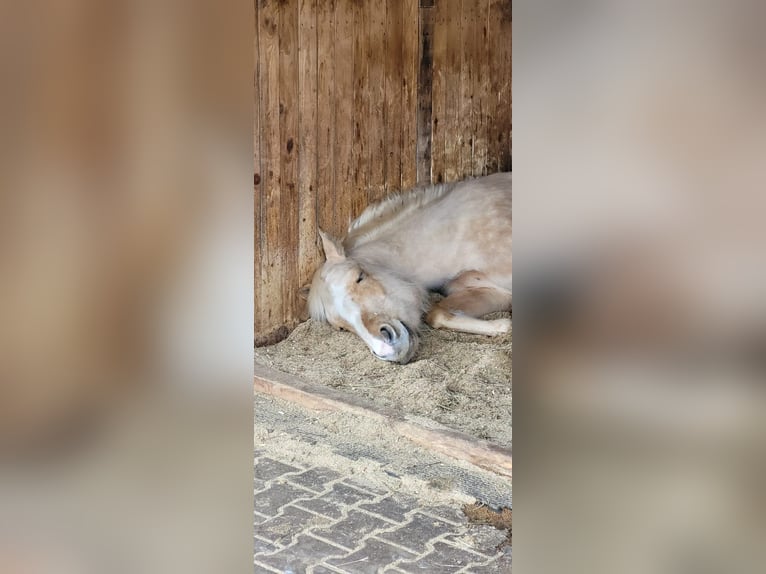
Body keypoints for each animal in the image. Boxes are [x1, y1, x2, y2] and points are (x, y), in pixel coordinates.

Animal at [306, 172, 512, 363]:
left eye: (360, 276)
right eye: (340, 327)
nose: (385, 349)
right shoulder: (494, 292)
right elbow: (436, 314)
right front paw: (502, 326)